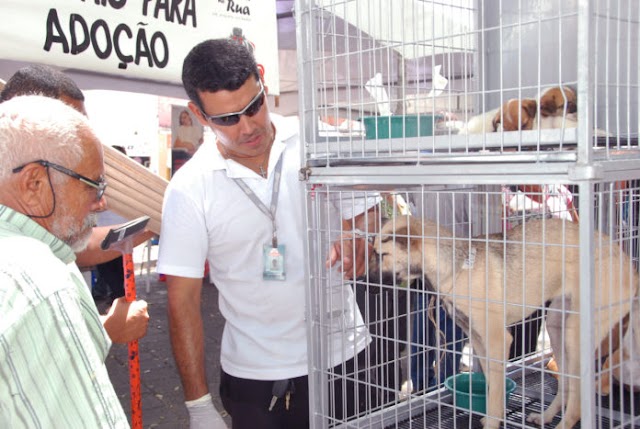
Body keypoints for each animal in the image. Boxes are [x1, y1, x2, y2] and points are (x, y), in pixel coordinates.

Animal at [372, 216, 636, 428]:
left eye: (382, 255)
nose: (368, 283)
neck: (458, 268)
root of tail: (628, 265)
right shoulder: (479, 343)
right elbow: (492, 386)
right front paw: (492, 415)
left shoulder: (498, 340)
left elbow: (497, 391)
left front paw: (493, 421)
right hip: (557, 328)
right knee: (567, 385)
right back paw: (546, 416)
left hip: (576, 335)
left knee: (579, 396)